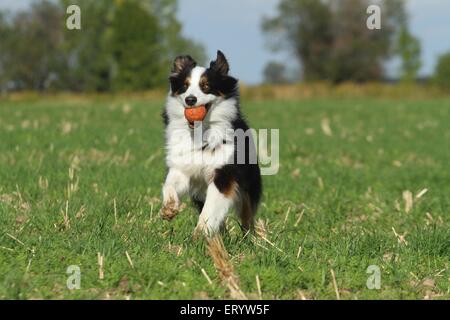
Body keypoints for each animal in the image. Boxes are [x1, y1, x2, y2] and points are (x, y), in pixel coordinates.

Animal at [160, 49, 262, 235]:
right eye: (184, 86)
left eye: (206, 86)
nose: (190, 99)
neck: (200, 132)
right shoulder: (182, 168)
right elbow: (170, 184)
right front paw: (169, 208)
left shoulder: (223, 174)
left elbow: (211, 207)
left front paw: (201, 232)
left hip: (249, 185)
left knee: (247, 215)